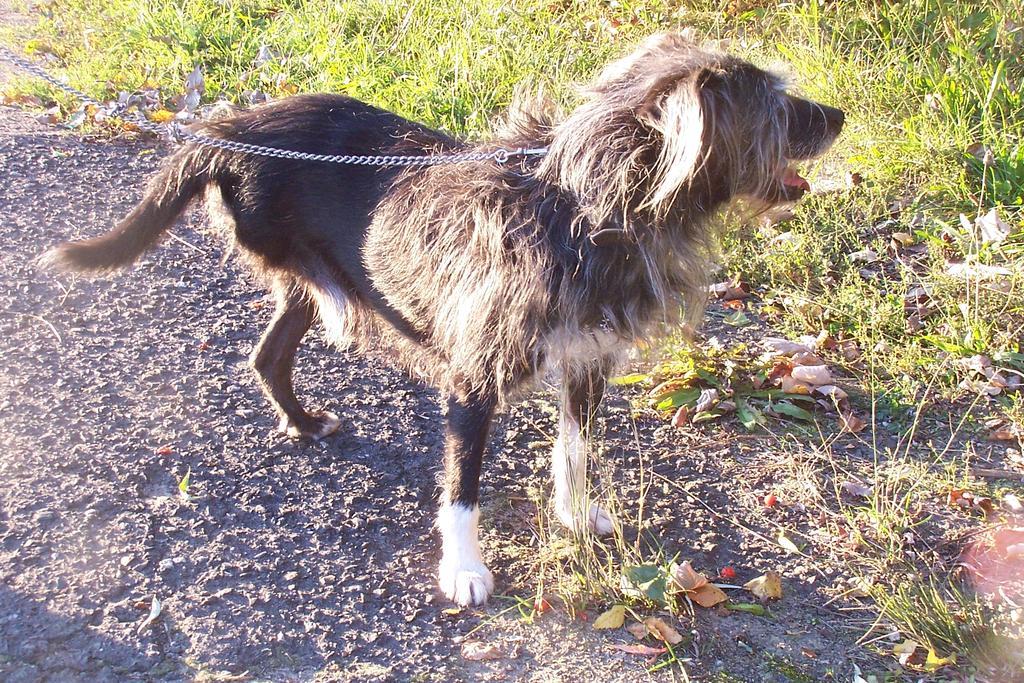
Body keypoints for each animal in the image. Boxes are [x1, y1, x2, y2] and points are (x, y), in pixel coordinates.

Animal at [43, 33, 844, 606]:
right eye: (777, 108)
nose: (840, 115)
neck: (584, 205)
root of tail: (231, 128)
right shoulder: (471, 379)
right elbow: (462, 487)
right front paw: (462, 569)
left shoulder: (587, 360)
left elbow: (576, 452)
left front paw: (575, 514)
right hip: (318, 284)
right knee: (271, 353)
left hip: (313, 287)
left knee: (266, 355)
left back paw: (302, 423)